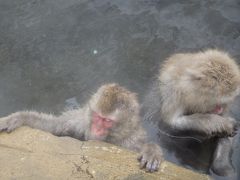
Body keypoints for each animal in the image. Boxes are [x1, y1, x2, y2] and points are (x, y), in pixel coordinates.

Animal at [0, 83, 163, 172]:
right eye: (97, 116)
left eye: (107, 121)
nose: (97, 129)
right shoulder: (79, 122)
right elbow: (54, 126)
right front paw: (17, 118)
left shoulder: (131, 141)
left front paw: (151, 151)